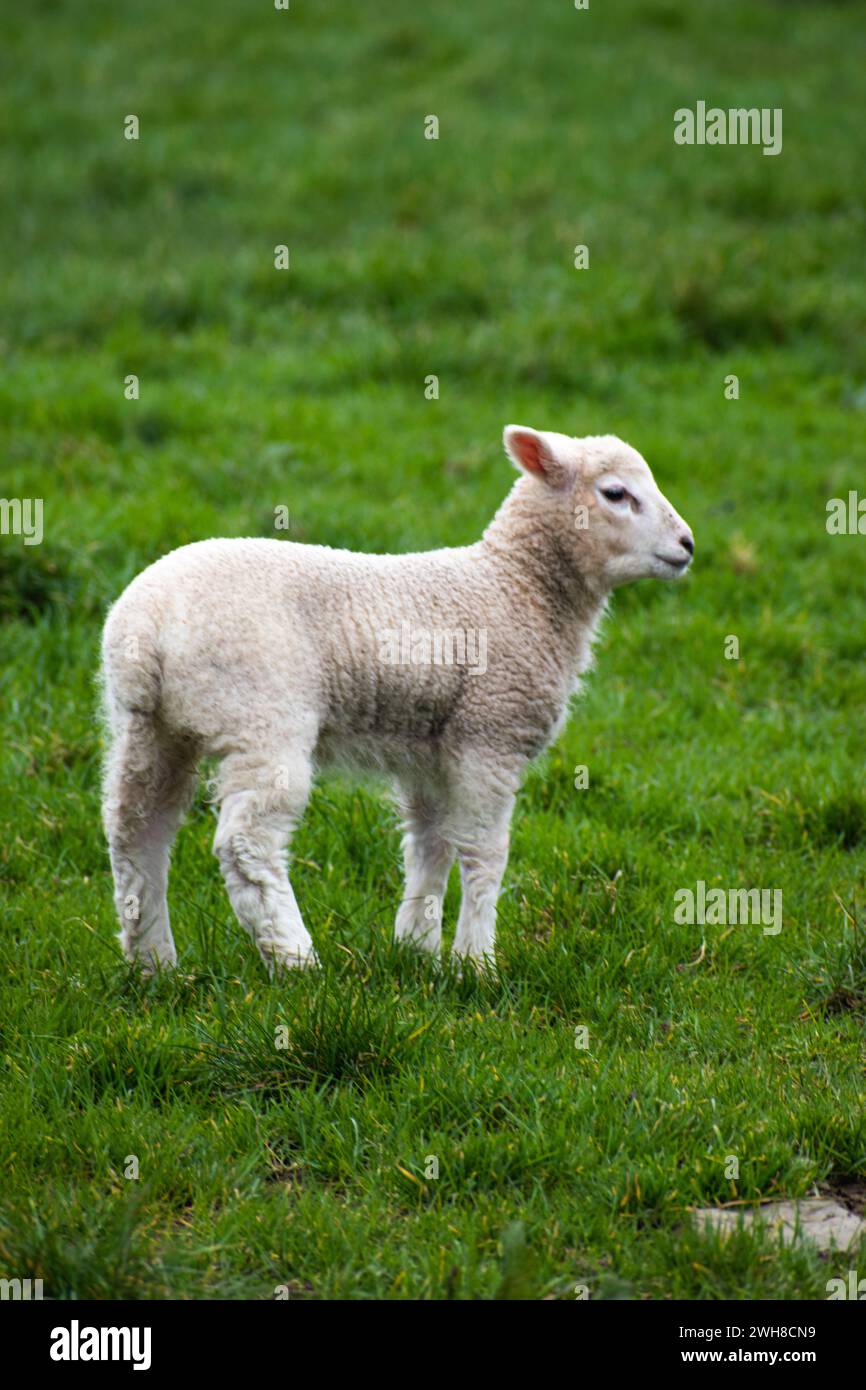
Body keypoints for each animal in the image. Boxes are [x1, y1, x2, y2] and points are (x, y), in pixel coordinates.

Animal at [100, 428, 697, 973]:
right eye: (616, 493)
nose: (688, 545)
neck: (514, 586)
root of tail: (147, 627)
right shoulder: (490, 734)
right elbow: (484, 852)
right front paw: (476, 962)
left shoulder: (430, 749)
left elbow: (429, 844)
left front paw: (416, 948)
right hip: (262, 715)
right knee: (247, 845)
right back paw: (296, 960)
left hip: (147, 724)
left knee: (134, 830)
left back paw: (153, 961)